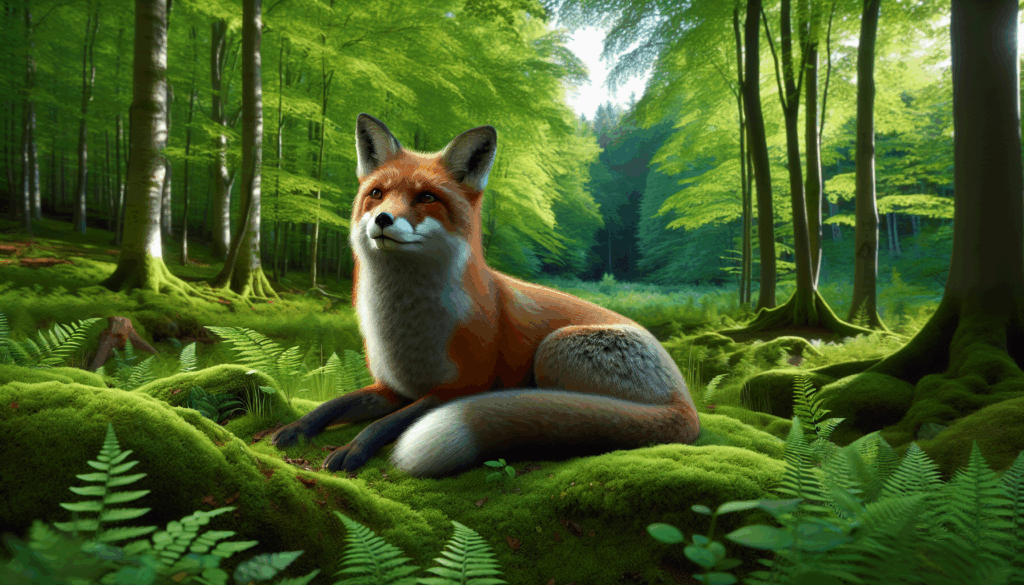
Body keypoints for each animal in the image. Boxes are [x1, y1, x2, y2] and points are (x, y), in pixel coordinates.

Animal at [269, 113, 700, 478]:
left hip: (553, 350)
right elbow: (336, 404)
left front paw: (353, 448)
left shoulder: (462, 387)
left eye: (426, 197)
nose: (382, 219)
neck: (404, 327)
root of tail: (687, 401)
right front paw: (296, 427)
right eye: (376, 193)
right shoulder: (391, 389)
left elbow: (385, 423)